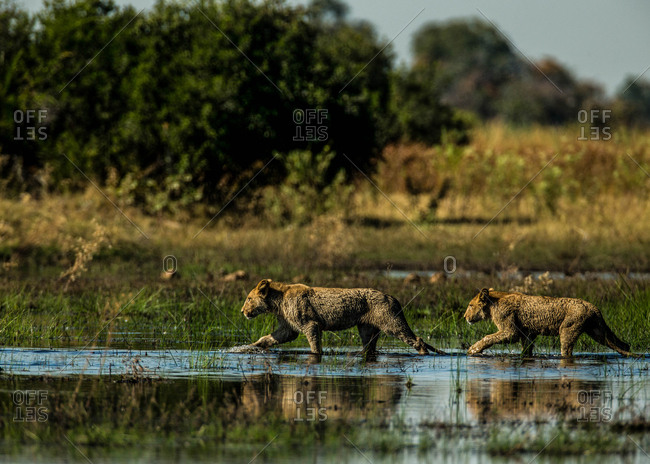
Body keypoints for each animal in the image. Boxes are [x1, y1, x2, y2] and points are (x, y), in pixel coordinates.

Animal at [240, 279, 445, 355]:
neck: (277, 304)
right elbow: (267, 339)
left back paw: (423, 354)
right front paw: (247, 347)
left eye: (249, 298)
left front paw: (316, 355)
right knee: (369, 347)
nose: (242, 311)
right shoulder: (288, 329)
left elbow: (315, 345)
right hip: (366, 329)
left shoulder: (310, 324)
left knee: (417, 339)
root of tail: (392, 297)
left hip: (392, 323)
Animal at [464, 288, 635, 357]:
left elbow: (488, 337)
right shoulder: (527, 333)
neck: (493, 303)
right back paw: (630, 354)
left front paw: (473, 349)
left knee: (566, 351)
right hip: (597, 331)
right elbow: (526, 349)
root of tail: (593, 307)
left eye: (470, 305)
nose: (465, 317)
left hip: (568, 329)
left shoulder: (510, 330)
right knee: (618, 344)